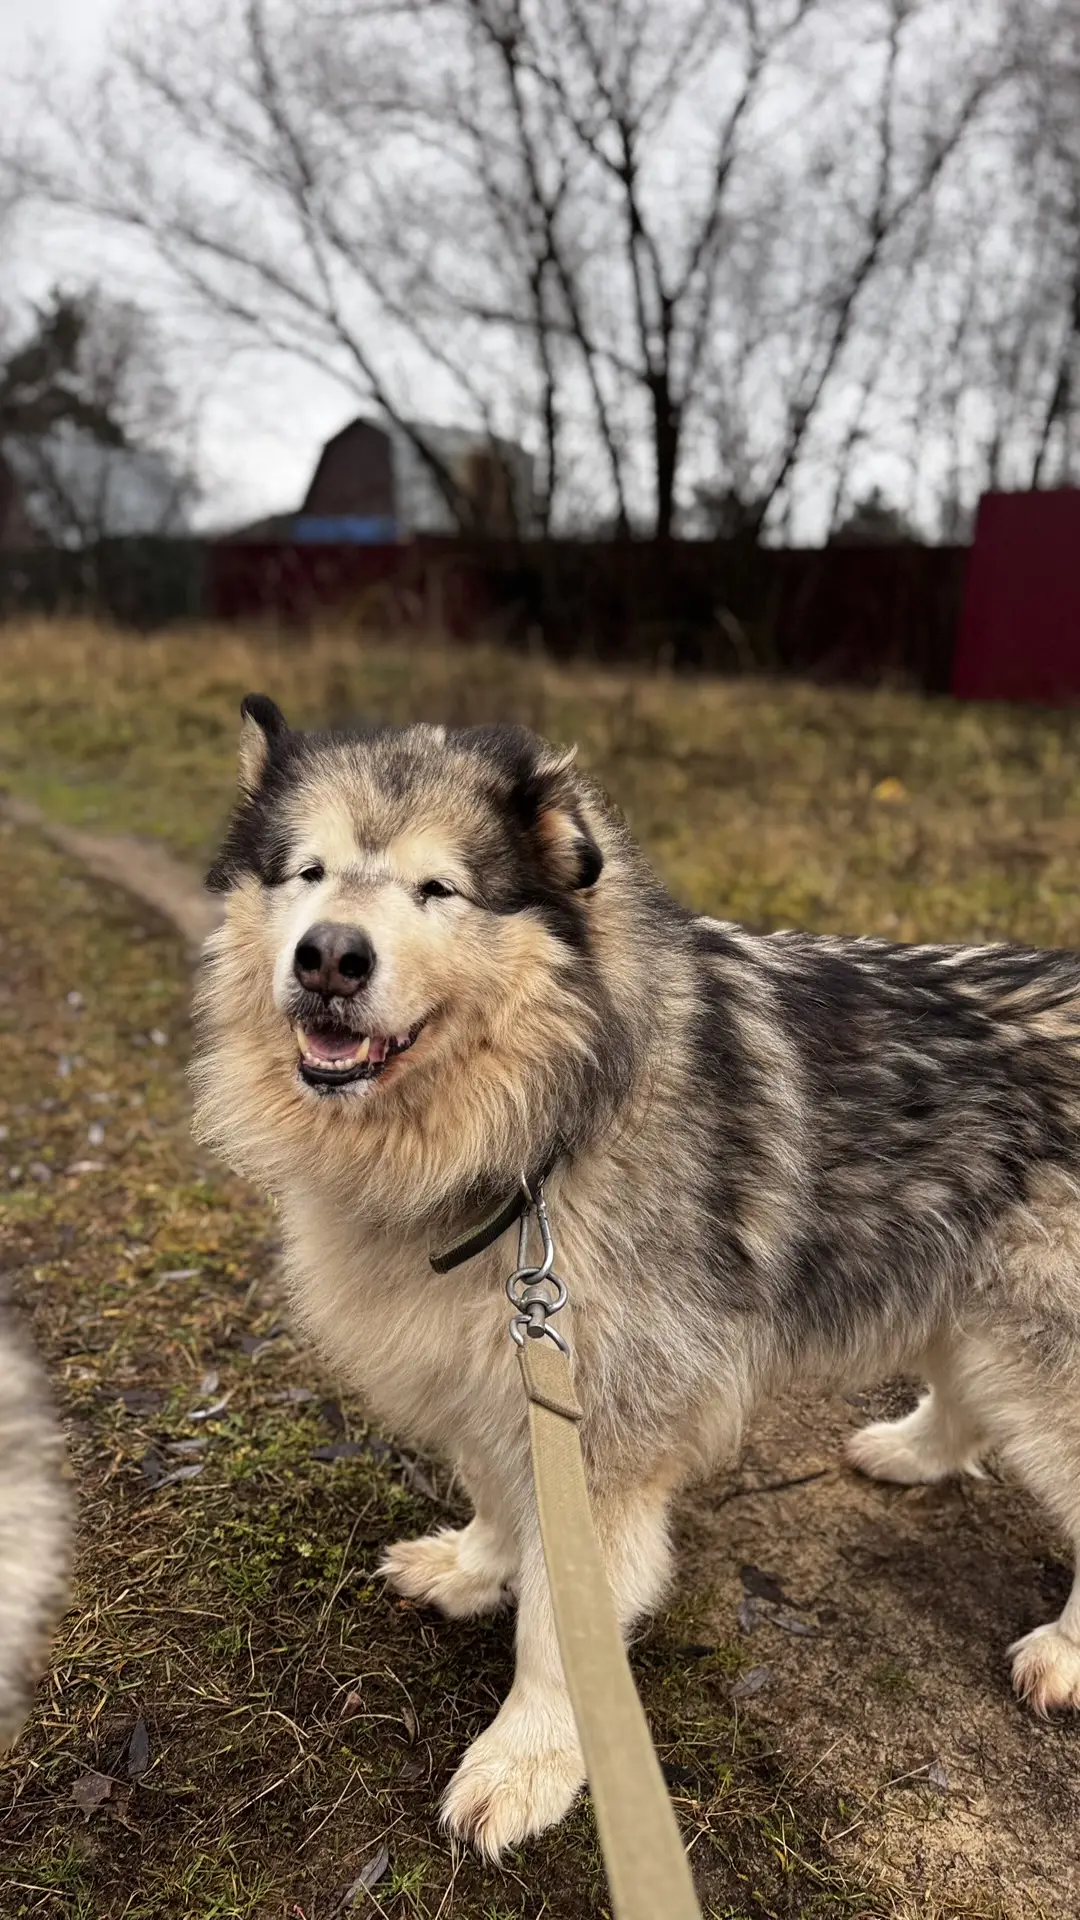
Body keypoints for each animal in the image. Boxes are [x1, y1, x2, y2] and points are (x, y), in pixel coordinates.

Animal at [193, 694, 1080, 1859]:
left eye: (440, 890)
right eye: (307, 872)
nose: (329, 957)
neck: (535, 1128)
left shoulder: (606, 1426)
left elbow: (556, 1628)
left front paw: (529, 1761)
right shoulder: (504, 1370)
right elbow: (499, 1491)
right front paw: (477, 1565)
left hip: (1042, 1348)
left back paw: (1065, 1650)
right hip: (969, 1300)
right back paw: (916, 1452)